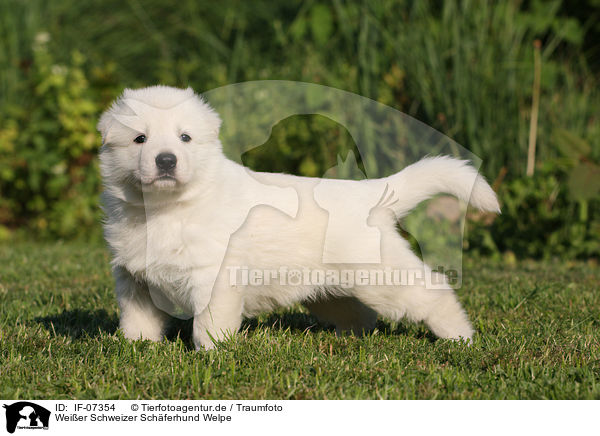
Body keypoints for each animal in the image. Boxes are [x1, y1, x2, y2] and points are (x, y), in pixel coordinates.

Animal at [99, 86, 502, 350]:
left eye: (185, 138)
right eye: (140, 139)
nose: (166, 160)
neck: (166, 209)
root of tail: (371, 193)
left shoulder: (214, 277)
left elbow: (208, 324)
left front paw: (212, 354)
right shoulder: (134, 279)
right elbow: (137, 318)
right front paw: (136, 349)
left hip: (383, 277)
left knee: (433, 292)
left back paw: (459, 337)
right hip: (330, 289)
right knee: (360, 314)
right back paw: (347, 340)